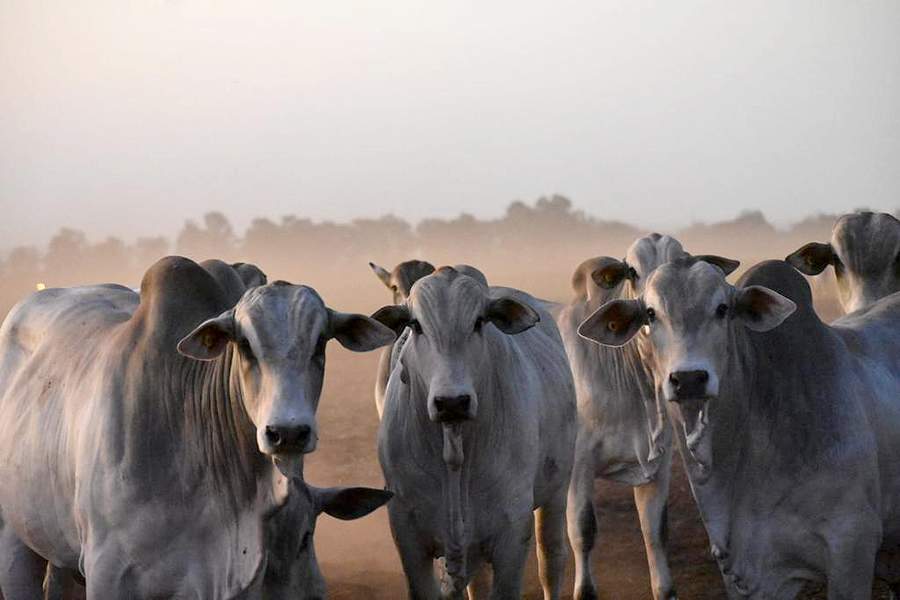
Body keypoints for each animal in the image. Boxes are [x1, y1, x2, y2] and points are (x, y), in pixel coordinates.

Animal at [372, 268, 576, 600]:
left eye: (479, 321)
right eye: (415, 325)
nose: (452, 402)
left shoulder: (512, 533)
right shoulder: (407, 531)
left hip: (557, 491)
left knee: (552, 558)